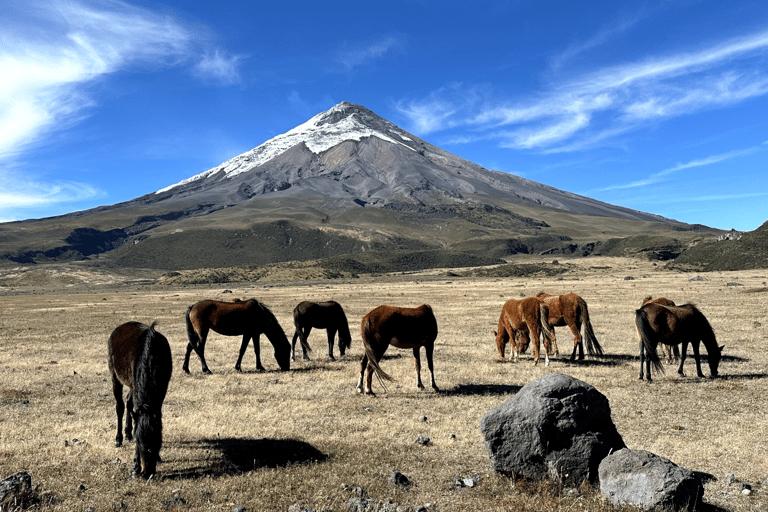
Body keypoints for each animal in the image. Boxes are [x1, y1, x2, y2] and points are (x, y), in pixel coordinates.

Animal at [107, 322, 172, 478]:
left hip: (132, 385)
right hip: (115, 377)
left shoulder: (162, 390)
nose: (147, 473)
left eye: (158, 440)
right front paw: (135, 466)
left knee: (129, 402)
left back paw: (127, 433)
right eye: (139, 441)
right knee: (120, 406)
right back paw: (119, 439)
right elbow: (136, 420)